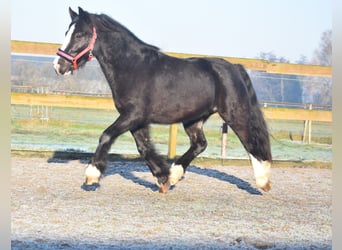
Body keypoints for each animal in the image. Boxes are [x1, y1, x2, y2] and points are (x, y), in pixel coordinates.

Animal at [54, 6, 272, 192]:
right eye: (66, 32)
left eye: (79, 34)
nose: (59, 66)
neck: (132, 67)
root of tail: (235, 68)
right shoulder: (135, 119)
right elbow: (143, 147)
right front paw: (163, 178)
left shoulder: (133, 115)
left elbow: (106, 135)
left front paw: (92, 175)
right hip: (193, 119)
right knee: (200, 144)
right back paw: (175, 174)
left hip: (234, 114)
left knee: (251, 143)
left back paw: (263, 182)